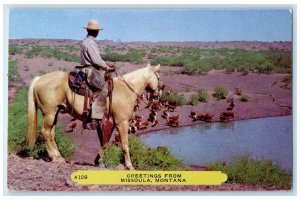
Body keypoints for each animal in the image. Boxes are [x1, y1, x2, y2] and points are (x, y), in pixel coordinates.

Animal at [27, 63, 161, 170]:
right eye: (158, 77)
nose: (158, 94)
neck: (126, 90)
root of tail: (39, 78)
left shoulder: (109, 123)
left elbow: (104, 143)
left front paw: (99, 161)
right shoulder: (122, 122)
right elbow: (124, 144)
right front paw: (130, 166)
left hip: (54, 113)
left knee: (51, 134)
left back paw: (58, 156)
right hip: (49, 113)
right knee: (45, 132)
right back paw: (55, 158)